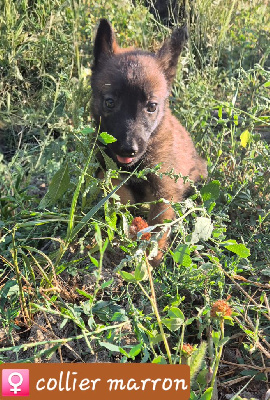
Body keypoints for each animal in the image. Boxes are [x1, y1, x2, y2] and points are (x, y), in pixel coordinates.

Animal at [90, 19, 207, 266]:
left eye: (151, 106)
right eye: (110, 102)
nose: (128, 149)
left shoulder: (164, 191)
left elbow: (157, 228)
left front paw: (150, 257)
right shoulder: (108, 173)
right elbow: (119, 196)